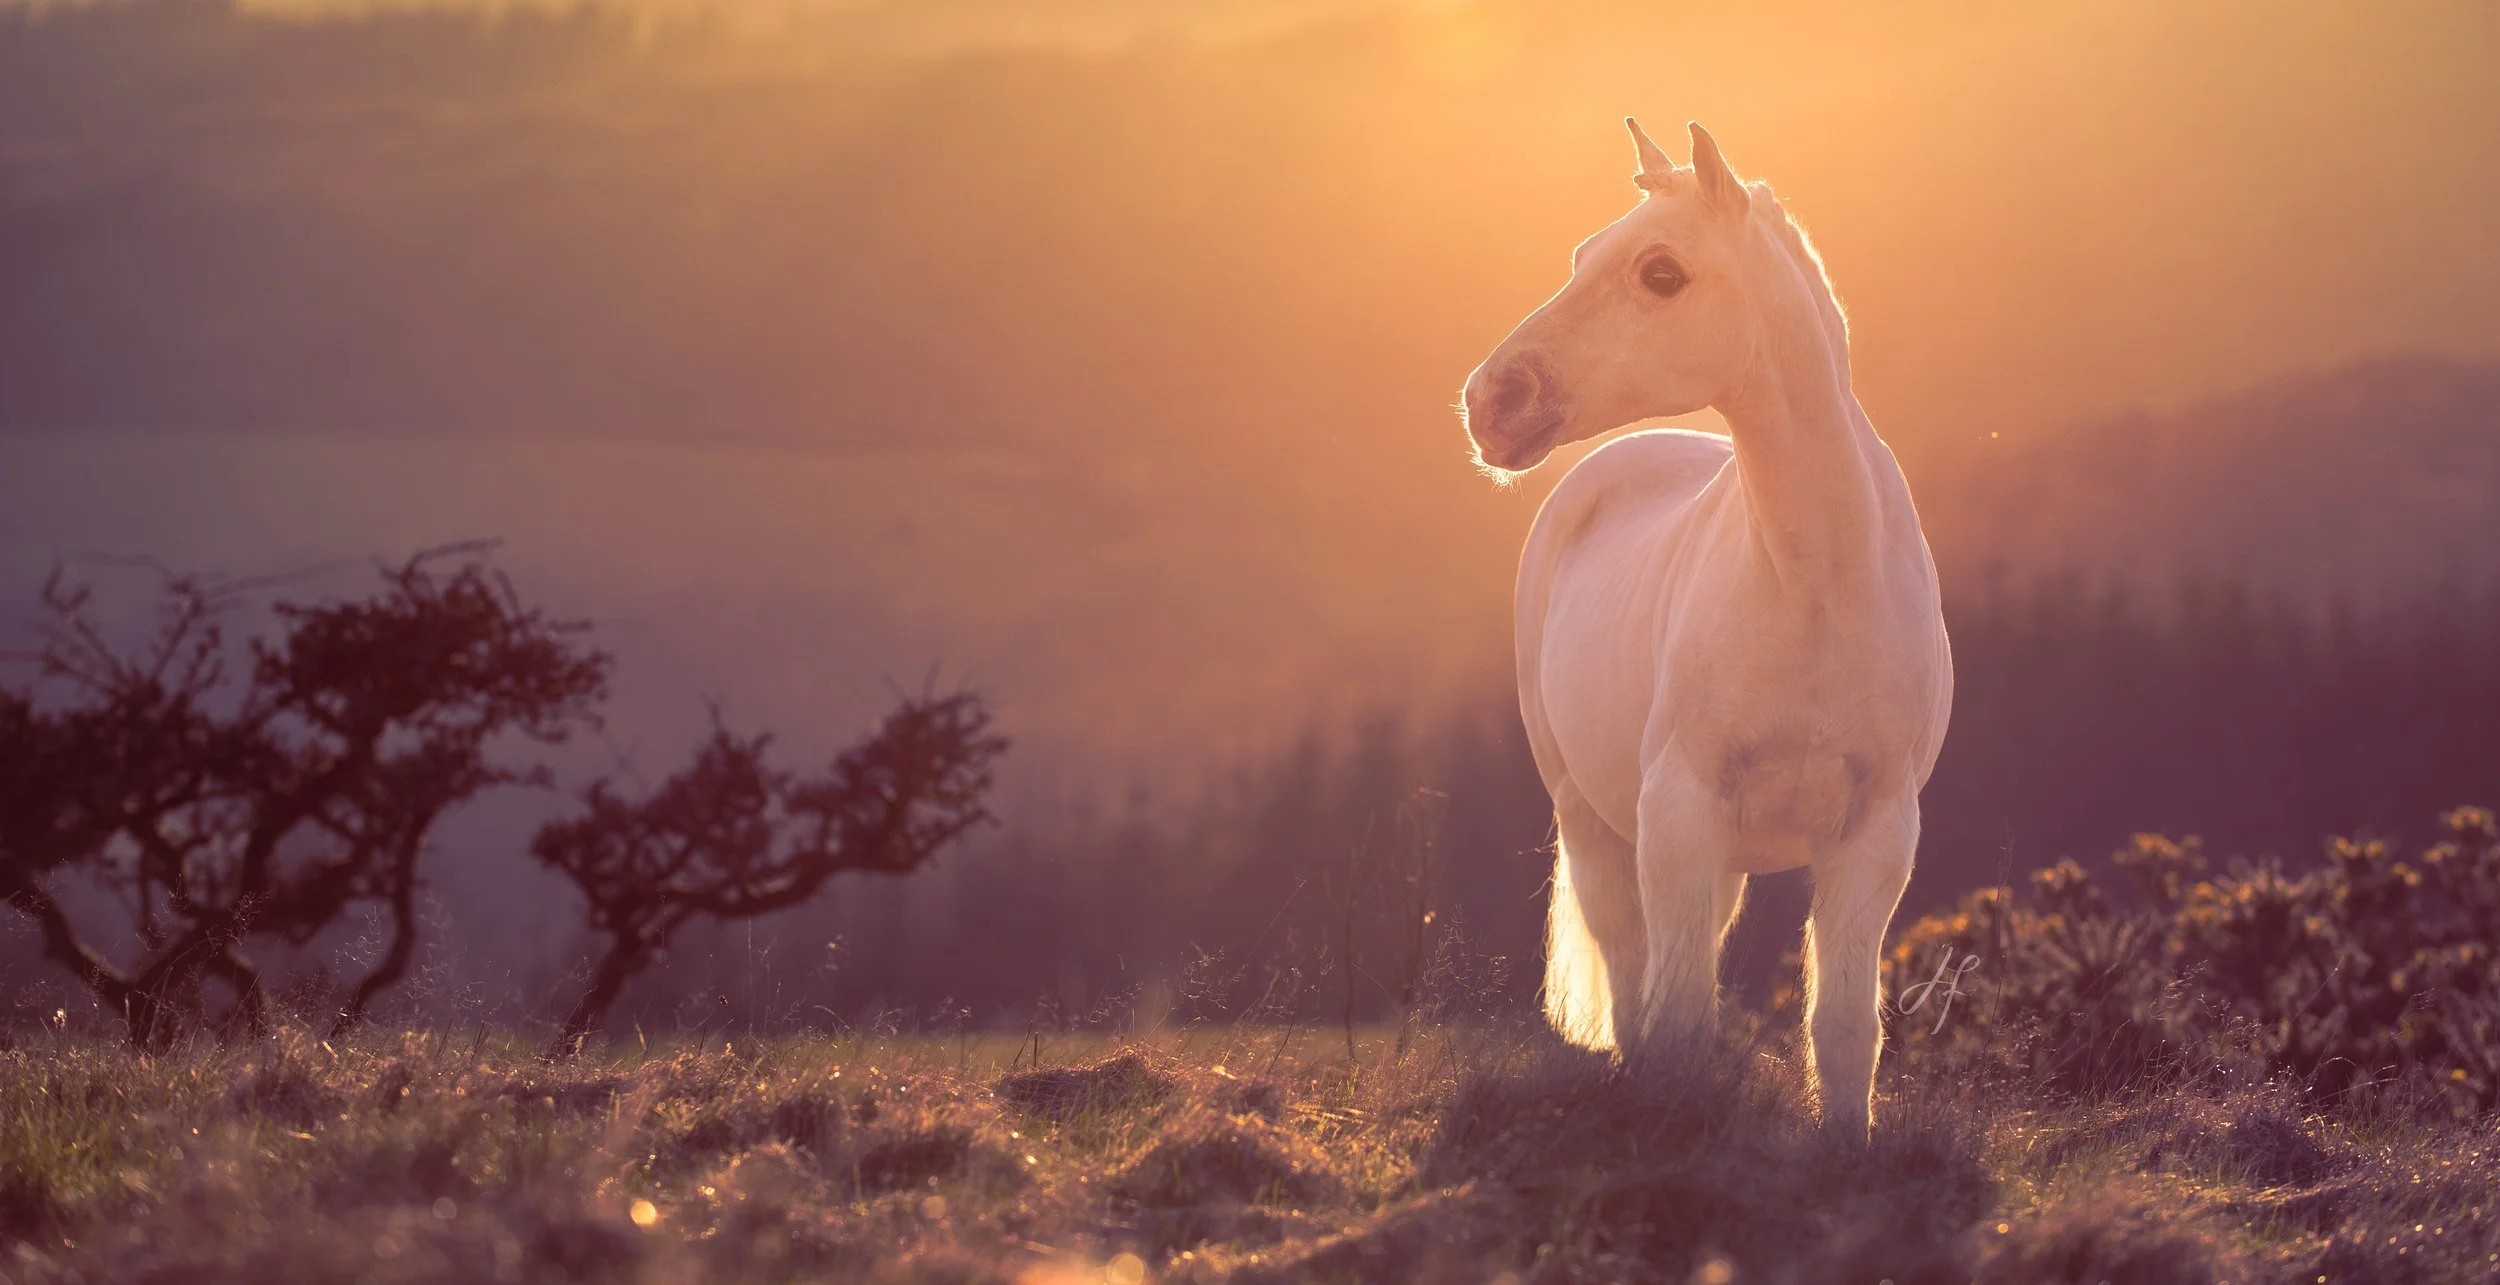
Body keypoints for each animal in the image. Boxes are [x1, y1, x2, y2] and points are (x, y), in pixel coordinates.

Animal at [1459, 119, 1953, 1141]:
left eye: (1661, 273)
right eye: (1582, 255)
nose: (1490, 400)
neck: (1815, 587)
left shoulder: (1876, 830)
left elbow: (1845, 1024)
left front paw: (1846, 1148)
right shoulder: (1680, 810)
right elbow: (1679, 1011)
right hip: (1593, 818)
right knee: (1629, 964)